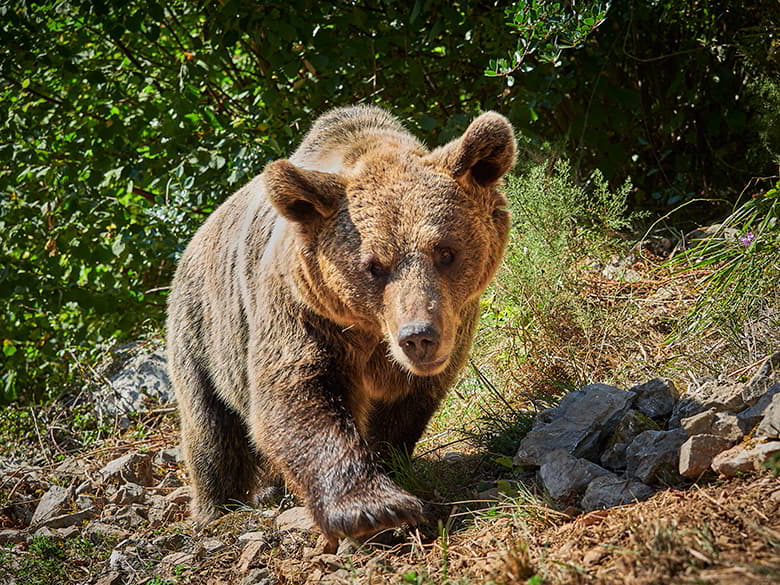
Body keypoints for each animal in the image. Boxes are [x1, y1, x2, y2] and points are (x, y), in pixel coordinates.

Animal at [166, 104, 516, 544]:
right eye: (374, 266)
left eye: (445, 251)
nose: (418, 336)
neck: (372, 332)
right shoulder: (304, 310)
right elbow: (296, 392)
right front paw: (374, 508)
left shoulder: (451, 328)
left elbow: (404, 408)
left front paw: (390, 467)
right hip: (203, 334)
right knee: (212, 430)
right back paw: (217, 507)